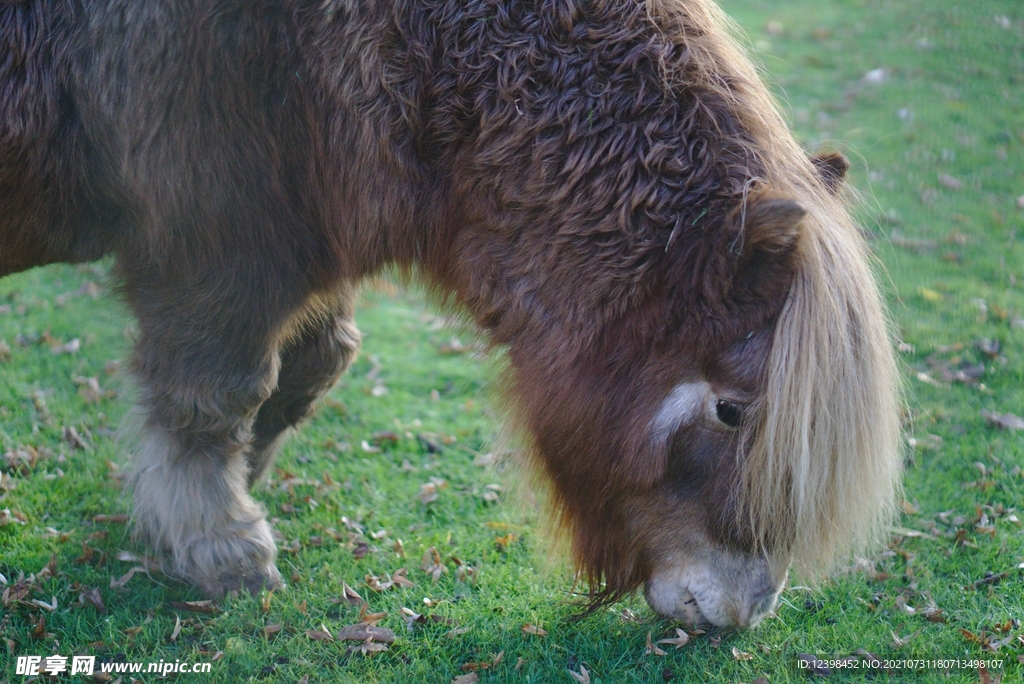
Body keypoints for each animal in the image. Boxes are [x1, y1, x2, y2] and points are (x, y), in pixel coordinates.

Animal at [0, 0, 897, 626]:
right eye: (732, 410)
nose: (745, 612)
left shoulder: (308, 235)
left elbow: (314, 366)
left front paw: (197, 499)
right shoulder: (216, 242)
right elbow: (216, 393)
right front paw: (220, 542)